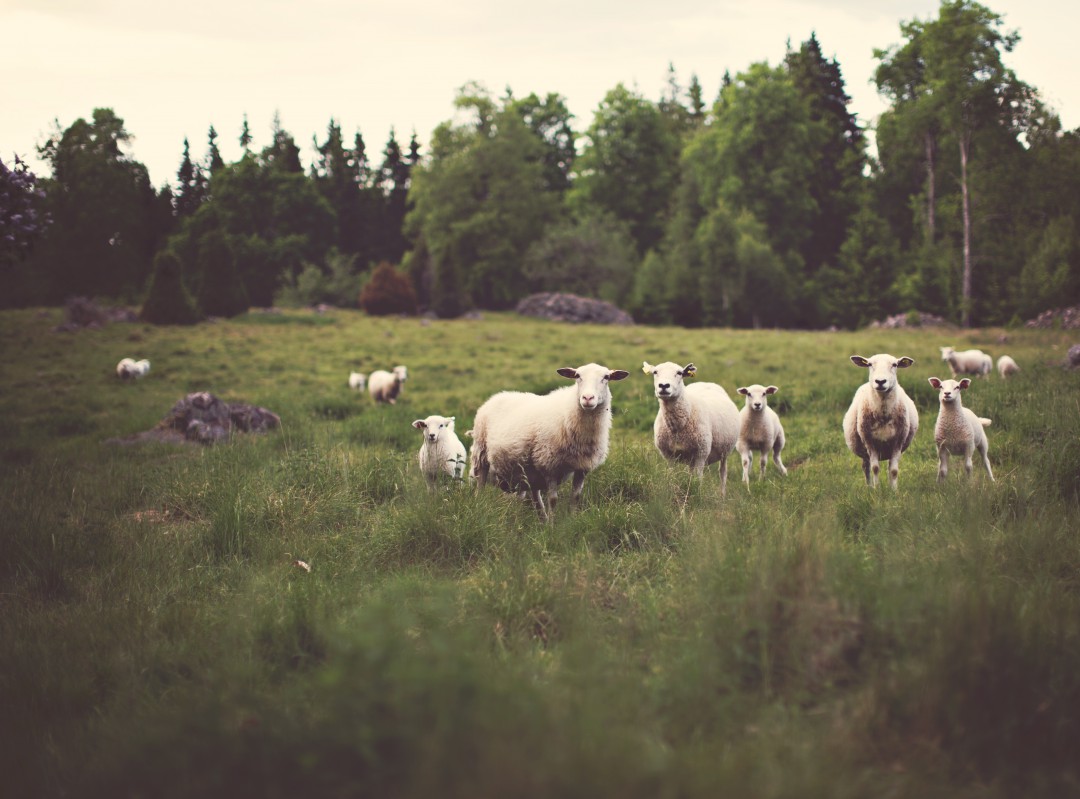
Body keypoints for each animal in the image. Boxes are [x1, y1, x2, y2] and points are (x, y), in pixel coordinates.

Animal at [468, 363, 630, 521]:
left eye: (606, 377)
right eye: (577, 376)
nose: (588, 398)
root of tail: (497, 396)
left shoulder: (582, 467)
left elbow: (575, 497)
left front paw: (572, 521)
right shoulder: (550, 465)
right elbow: (553, 500)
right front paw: (552, 526)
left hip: (528, 469)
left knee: (533, 496)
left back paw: (540, 519)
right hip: (481, 452)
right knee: (481, 483)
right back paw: (479, 507)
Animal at [642, 360, 740, 496]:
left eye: (679, 373)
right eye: (655, 372)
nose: (664, 386)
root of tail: (706, 383)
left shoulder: (701, 453)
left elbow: (698, 479)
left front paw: (697, 495)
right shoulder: (669, 455)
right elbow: (672, 476)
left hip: (724, 452)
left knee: (723, 473)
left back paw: (722, 495)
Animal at [842, 354, 919, 489]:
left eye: (895, 365)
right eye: (869, 364)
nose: (880, 381)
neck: (883, 414)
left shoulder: (898, 441)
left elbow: (893, 471)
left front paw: (893, 490)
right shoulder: (869, 441)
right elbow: (875, 468)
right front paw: (877, 489)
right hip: (865, 450)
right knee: (866, 467)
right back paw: (869, 487)